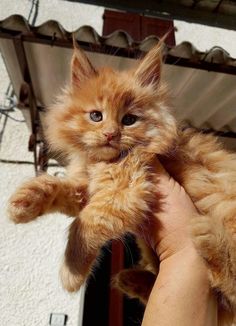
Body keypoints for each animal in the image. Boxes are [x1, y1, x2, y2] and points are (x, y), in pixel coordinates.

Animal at [7, 42, 236, 324]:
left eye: (129, 120)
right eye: (96, 116)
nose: (110, 134)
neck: (100, 162)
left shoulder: (127, 188)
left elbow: (85, 223)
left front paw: (71, 273)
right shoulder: (85, 187)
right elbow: (58, 188)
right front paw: (25, 200)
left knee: (231, 286)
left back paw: (209, 237)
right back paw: (131, 279)